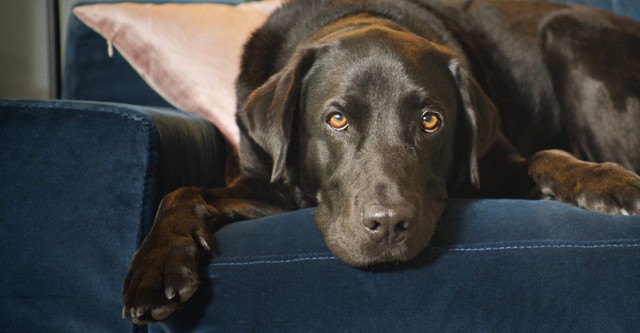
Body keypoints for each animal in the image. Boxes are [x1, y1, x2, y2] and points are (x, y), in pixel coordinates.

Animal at [121, 0, 640, 322]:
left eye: (431, 120)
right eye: (336, 119)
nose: (388, 225)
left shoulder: (494, 159)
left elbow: (548, 156)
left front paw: (606, 182)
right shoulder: (268, 185)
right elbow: (182, 190)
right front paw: (156, 267)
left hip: (572, 40)